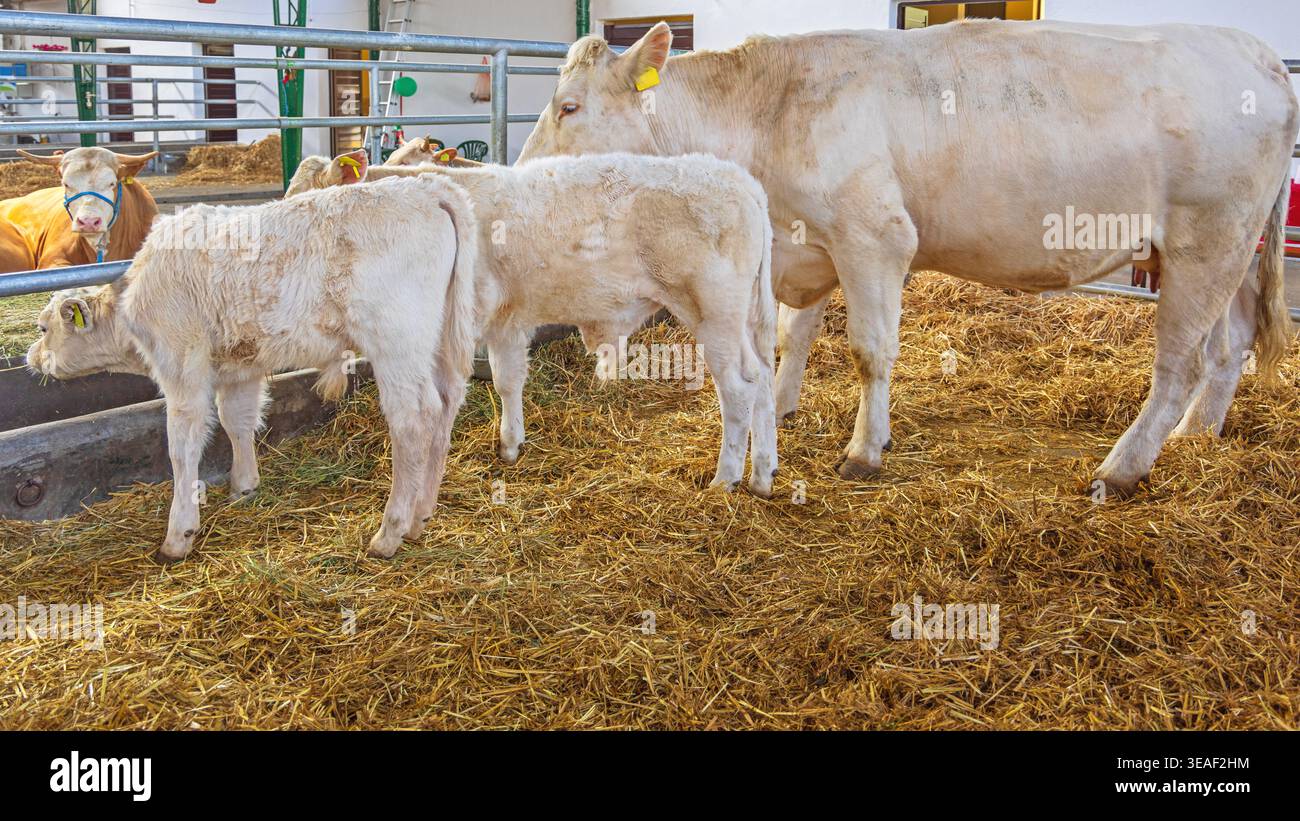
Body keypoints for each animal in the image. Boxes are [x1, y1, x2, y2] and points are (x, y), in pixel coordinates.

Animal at [26, 173, 480, 562]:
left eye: (44, 327)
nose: (31, 357)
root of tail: (427, 187)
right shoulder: (240, 368)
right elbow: (237, 421)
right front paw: (244, 486)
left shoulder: (181, 366)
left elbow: (182, 445)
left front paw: (178, 534)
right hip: (439, 342)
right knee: (447, 404)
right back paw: (421, 515)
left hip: (397, 345)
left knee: (413, 420)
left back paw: (391, 531)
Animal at [289, 151, 780, 497]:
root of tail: (740, 179)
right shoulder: (508, 319)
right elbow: (508, 381)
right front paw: (510, 444)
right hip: (745, 319)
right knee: (763, 380)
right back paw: (763, 473)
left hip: (713, 313)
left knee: (739, 389)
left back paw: (726, 478)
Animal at [517, 19, 1299, 497]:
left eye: (568, 106)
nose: (518, 175)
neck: (770, 112)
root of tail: (1257, 51)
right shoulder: (808, 241)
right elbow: (791, 335)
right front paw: (783, 404)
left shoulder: (874, 236)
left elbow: (870, 350)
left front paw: (865, 449)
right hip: (1226, 249)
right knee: (1228, 345)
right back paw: (1198, 433)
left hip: (1208, 237)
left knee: (1180, 362)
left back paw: (1122, 467)